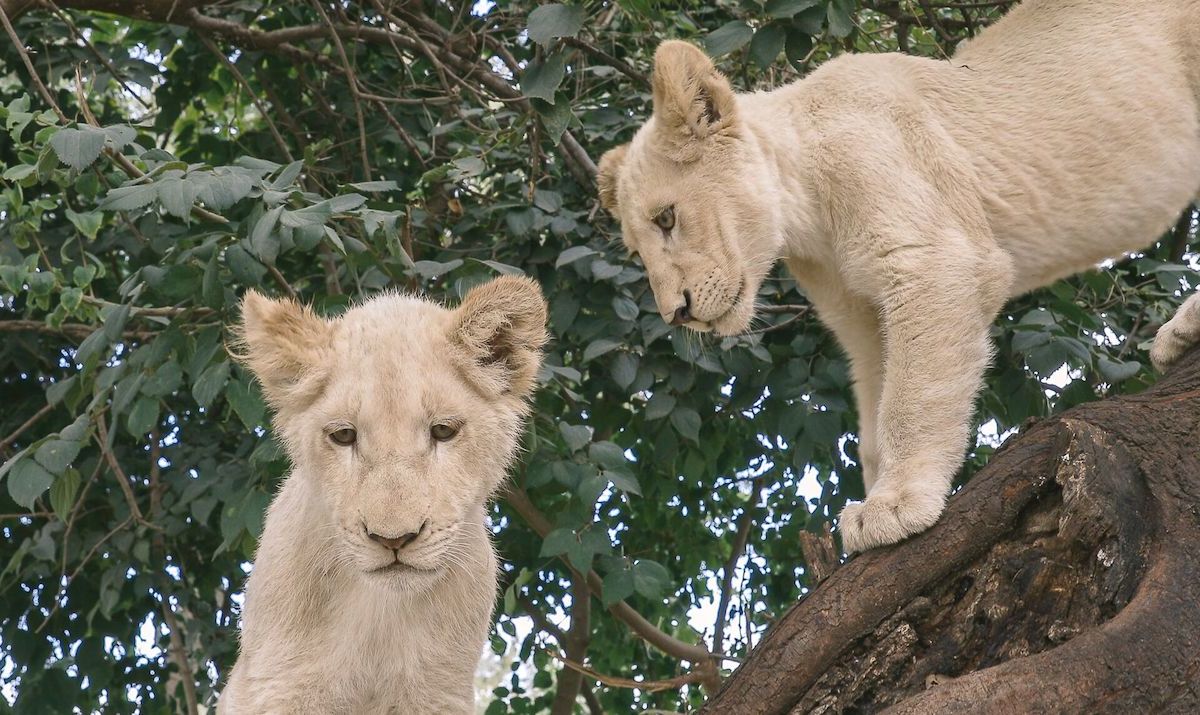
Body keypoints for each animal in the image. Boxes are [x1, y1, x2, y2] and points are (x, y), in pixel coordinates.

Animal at [219, 276, 548, 713]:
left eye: (443, 431)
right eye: (343, 435)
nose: (394, 540)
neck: (380, 616)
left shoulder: (439, 693)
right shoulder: (275, 684)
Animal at [598, 0, 1200, 553]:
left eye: (667, 218)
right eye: (635, 248)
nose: (677, 312)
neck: (807, 210)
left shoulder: (932, 256)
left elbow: (910, 399)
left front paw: (894, 507)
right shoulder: (858, 318)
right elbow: (874, 413)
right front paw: (873, 502)